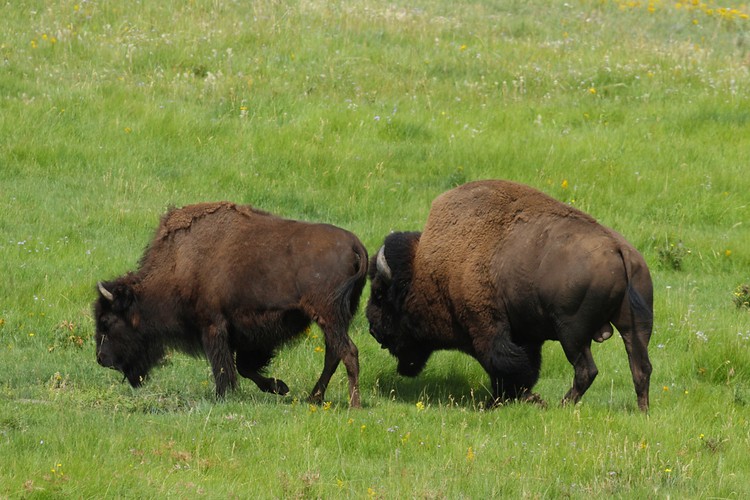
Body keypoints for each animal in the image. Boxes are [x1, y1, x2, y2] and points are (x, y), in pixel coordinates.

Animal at [94, 202, 367, 407]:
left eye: (107, 321)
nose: (101, 359)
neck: (180, 262)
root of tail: (355, 244)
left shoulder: (214, 326)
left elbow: (223, 366)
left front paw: (222, 396)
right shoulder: (245, 336)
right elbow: (243, 367)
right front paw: (280, 387)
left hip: (328, 316)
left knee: (348, 352)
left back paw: (353, 404)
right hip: (337, 319)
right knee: (334, 353)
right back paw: (314, 398)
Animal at [367, 180, 653, 411]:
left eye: (380, 294)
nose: (372, 328)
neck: (429, 268)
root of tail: (618, 248)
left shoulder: (487, 327)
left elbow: (504, 364)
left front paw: (506, 401)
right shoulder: (525, 336)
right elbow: (523, 366)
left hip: (571, 332)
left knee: (586, 369)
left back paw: (561, 405)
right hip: (634, 327)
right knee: (641, 368)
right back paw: (642, 411)